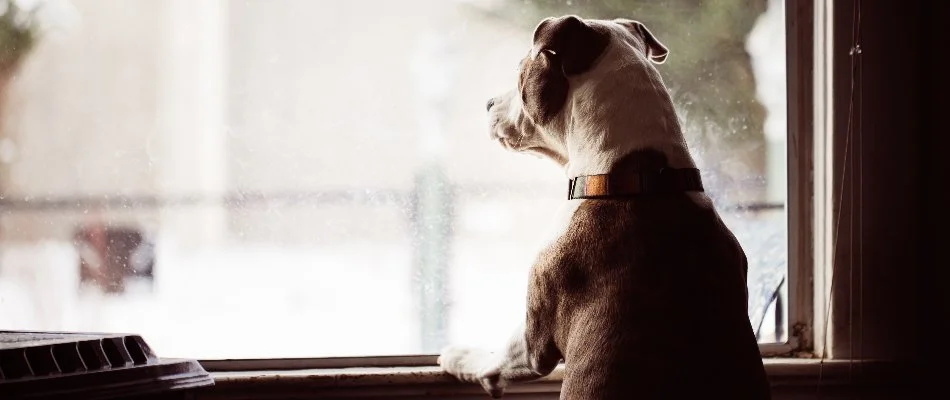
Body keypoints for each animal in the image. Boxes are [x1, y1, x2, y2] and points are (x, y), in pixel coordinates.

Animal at [438, 14, 772, 398]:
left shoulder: (534, 340)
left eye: (520, 70)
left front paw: (458, 356)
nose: (488, 102)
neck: (639, 177)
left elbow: (495, 358)